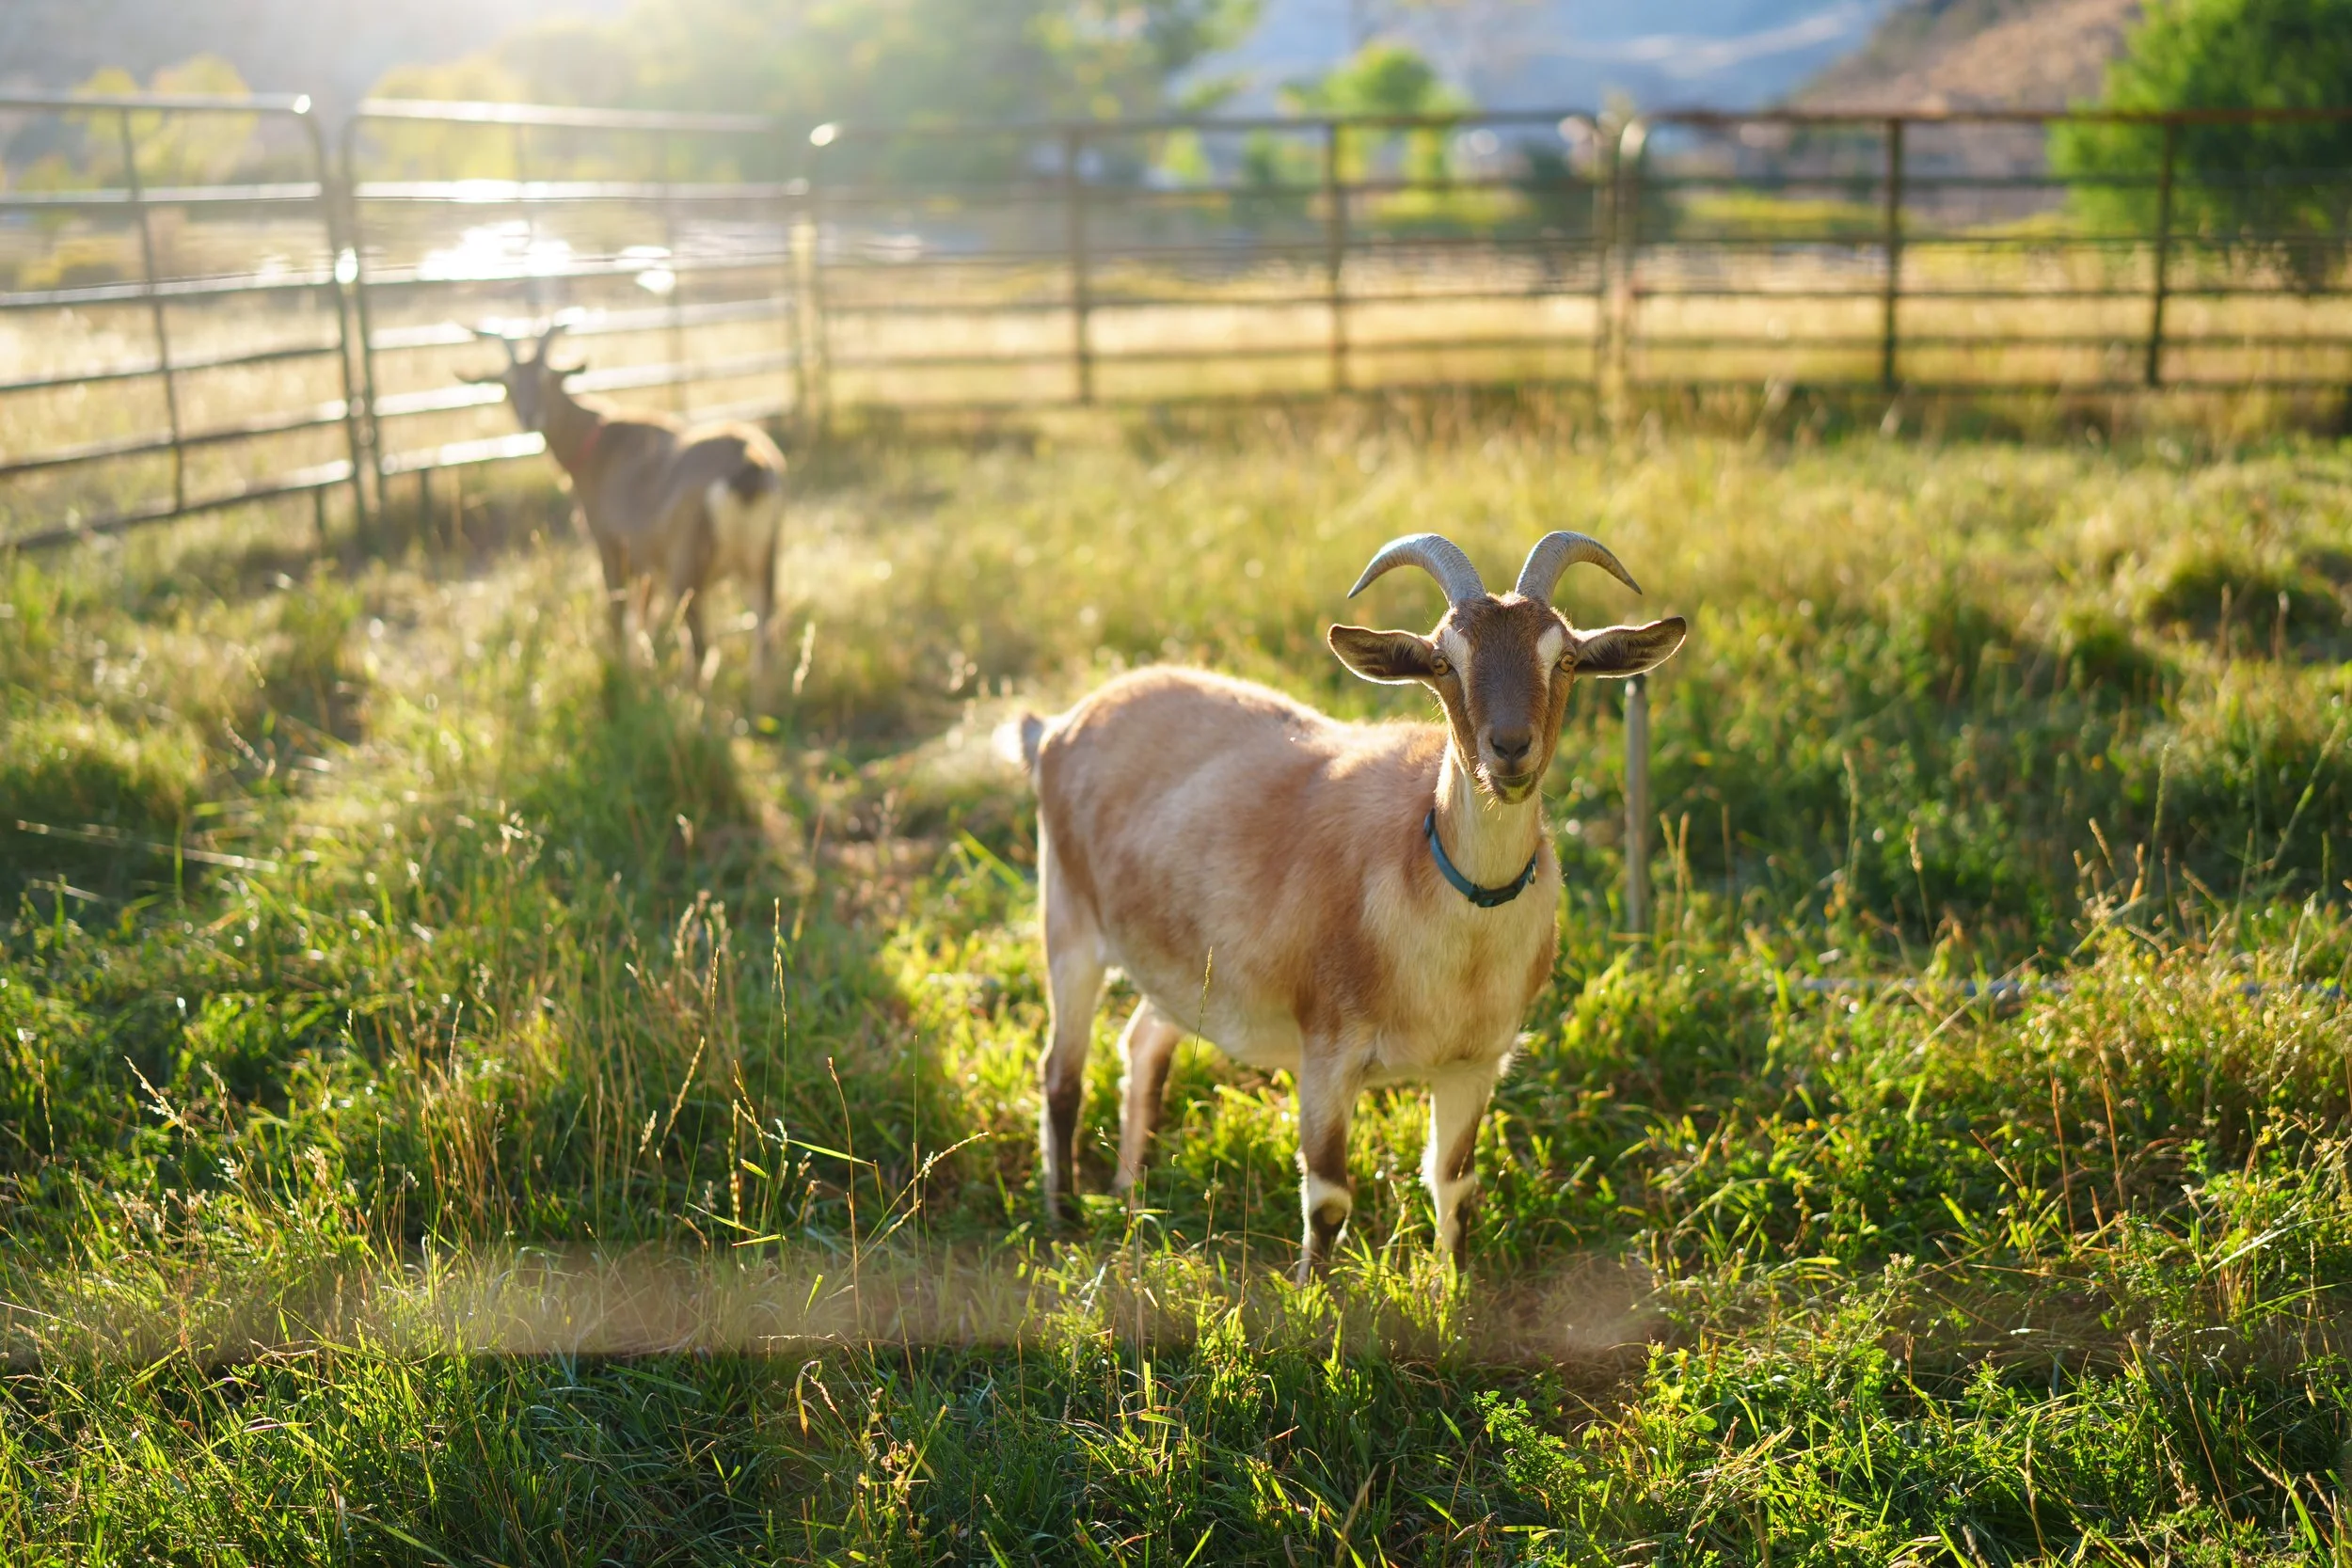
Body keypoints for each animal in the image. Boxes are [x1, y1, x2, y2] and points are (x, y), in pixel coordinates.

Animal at [462, 322, 787, 673]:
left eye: (547, 377)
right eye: (508, 383)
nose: (530, 415)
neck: (596, 446)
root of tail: (750, 463)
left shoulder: (611, 543)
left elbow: (618, 611)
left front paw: (621, 668)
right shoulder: (646, 560)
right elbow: (643, 617)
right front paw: (644, 663)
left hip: (687, 568)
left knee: (702, 648)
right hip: (761, 561)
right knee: (765, 634)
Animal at [1007, 532, 1686, 1279]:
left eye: (1564, 657)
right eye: (1443, 660)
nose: (1509, 750)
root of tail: (1055, 728)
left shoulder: (1473, 1065)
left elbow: (1456, 1186)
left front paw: (1455, 1294)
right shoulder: (1328, 1051)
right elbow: (1329, 1196)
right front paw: (1313, 1299)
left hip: (1180, 965)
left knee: (1144, 1040)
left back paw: (1133, 1197)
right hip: (1067, 923)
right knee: (1061, 1073)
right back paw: (1064, 1216)